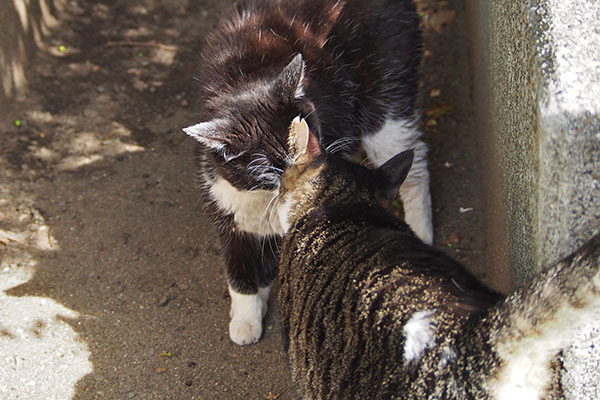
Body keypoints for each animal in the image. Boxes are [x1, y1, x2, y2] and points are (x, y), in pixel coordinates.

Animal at [183, 0, 432, 344]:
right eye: (269, 168)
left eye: (308, 133)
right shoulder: (221, 196)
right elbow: (239, 264)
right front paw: (246, 316)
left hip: (386, 95)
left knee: (414, 158)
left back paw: (422, 230)